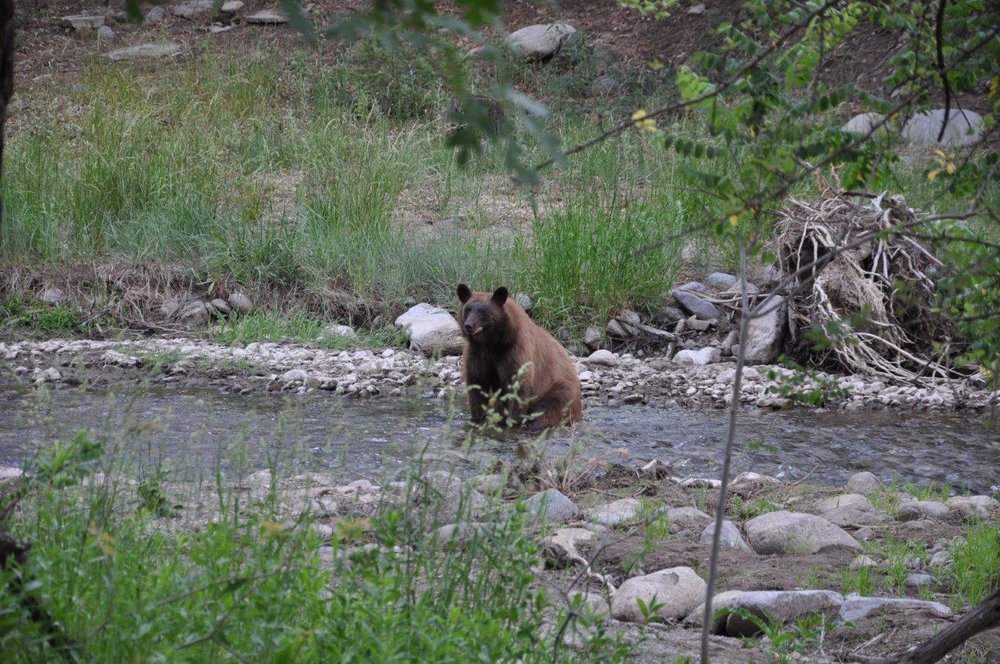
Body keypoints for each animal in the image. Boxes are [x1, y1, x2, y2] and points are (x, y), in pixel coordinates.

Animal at [458, 282, 584, 430]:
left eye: (483, 312)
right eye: (468, 309)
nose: (469, 325)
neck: (492, 342)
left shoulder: (515, 351)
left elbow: (518, 384)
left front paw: (512, 420)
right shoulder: (477, 353)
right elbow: (477, 383)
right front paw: (477, 419)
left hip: (559, 389)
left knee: (549, 408)